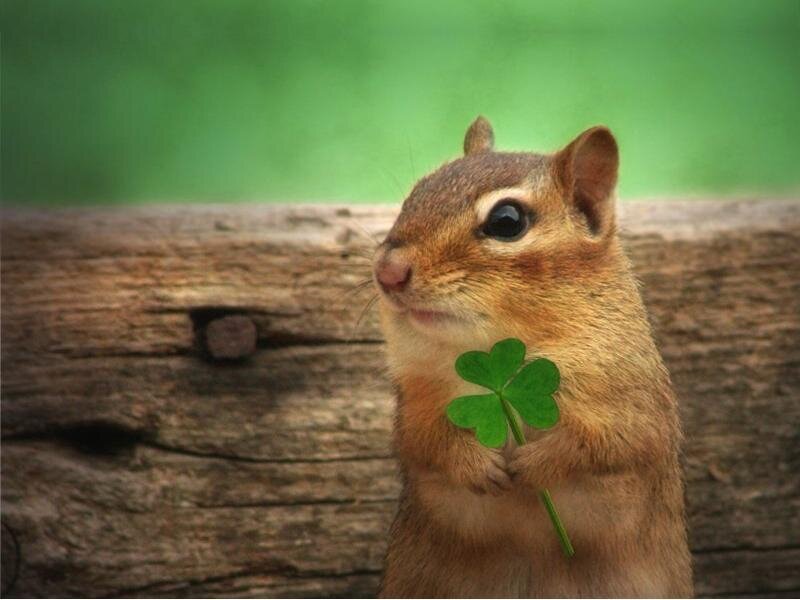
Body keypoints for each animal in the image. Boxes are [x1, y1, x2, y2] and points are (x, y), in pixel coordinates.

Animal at [373, 117, 693, 598]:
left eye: (507, 221)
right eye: (417, 191)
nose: (386, 272)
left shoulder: (635, 412)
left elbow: (607, 446)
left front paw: (533, 464)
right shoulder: (415, 405)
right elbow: (423, 442)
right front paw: (476, 465)